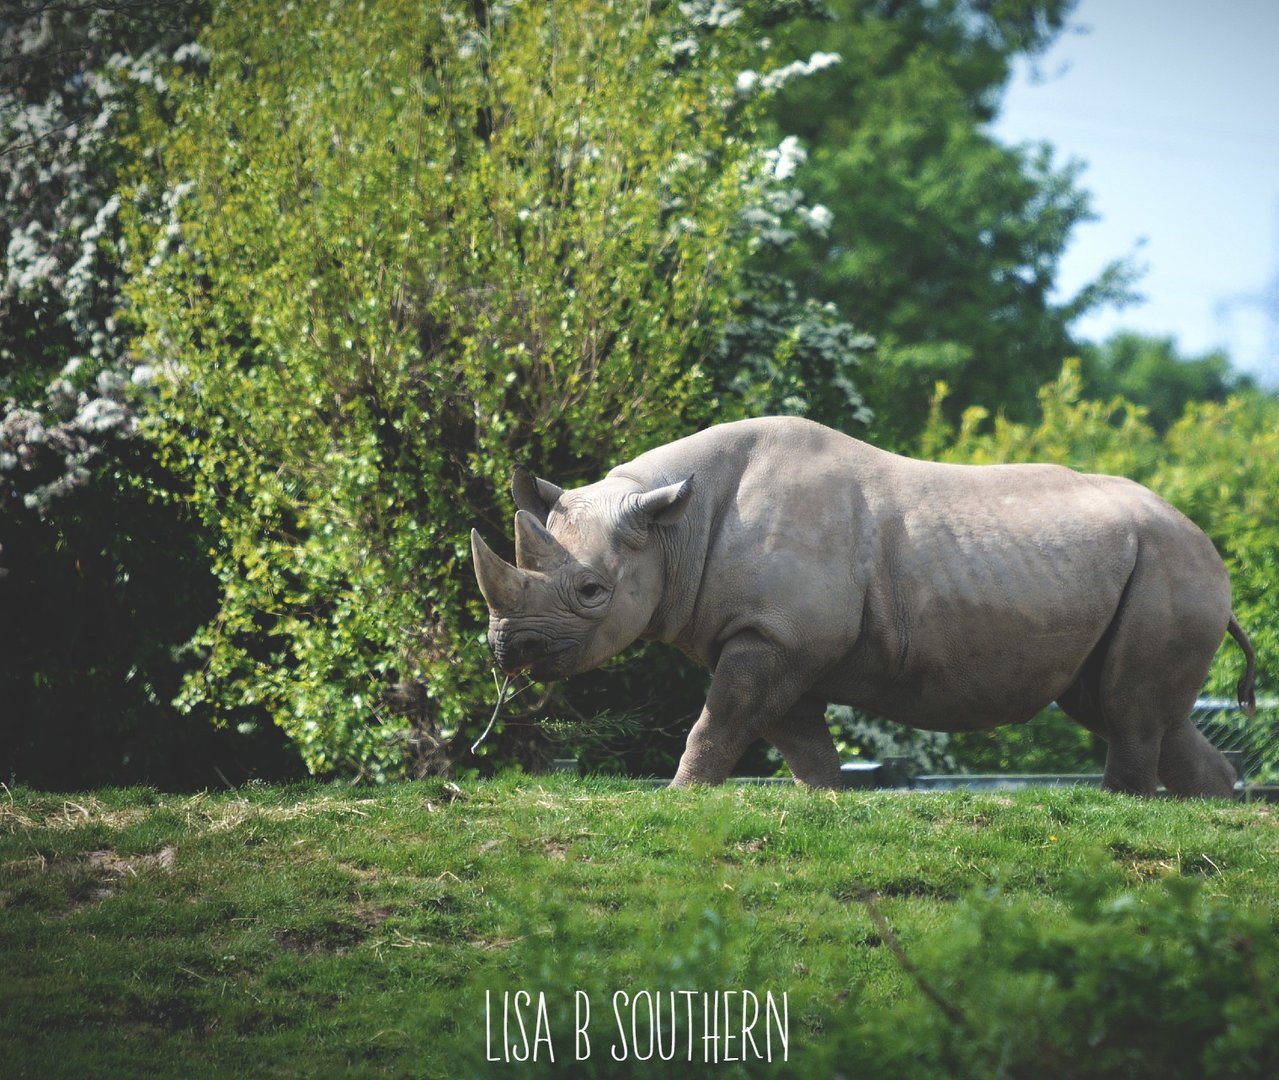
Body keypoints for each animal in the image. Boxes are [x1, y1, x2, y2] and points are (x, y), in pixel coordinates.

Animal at [471, 416, 1255, 797]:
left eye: (591, 592)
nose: (510, 649)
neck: (670, 529)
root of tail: (1206, 543)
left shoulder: (775, 633)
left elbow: (721, 719)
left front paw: (677, 795)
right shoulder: (776, 636)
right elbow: (792, 735)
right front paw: (828, 800)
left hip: (1171, 570)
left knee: (1127, 711)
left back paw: (1121, 805)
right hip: (1155, 569)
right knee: (1125, 708)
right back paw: (1210, 804)